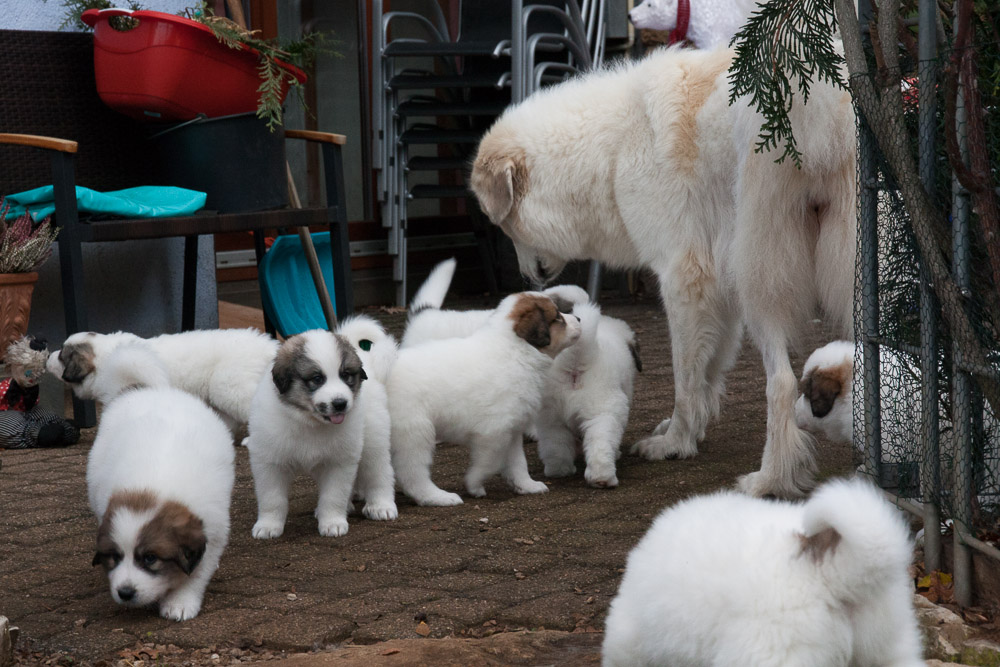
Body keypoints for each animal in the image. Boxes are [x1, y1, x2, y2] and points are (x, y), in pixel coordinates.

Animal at [86, 386, 234, 620]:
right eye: (115, 556)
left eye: (150, 558)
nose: (125, 593)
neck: (151, 492)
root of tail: (156, 390)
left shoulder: (213, 532)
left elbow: (196, 573)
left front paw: (180, 602)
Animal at [386, 292, 584, 506]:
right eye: (557, 317)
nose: (579, 318)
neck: (517, 351)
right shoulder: (494, 431)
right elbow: (490, 462)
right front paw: (474, 484)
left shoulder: (512, 429)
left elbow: (518, 463)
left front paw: (526, 485)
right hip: (414, 432)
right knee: (412, 473)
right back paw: (438, 497)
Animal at [468, 45, 852, 496]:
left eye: (503, 224)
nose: (530, 278)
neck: (612, 146)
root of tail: (819, 97)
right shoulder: (718, 287)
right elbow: (708, 372)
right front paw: (691, 430)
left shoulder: (684, 279)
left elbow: (685, 379)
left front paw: (675, 442)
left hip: (761, 278)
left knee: (782, 384)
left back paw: (769, 477)